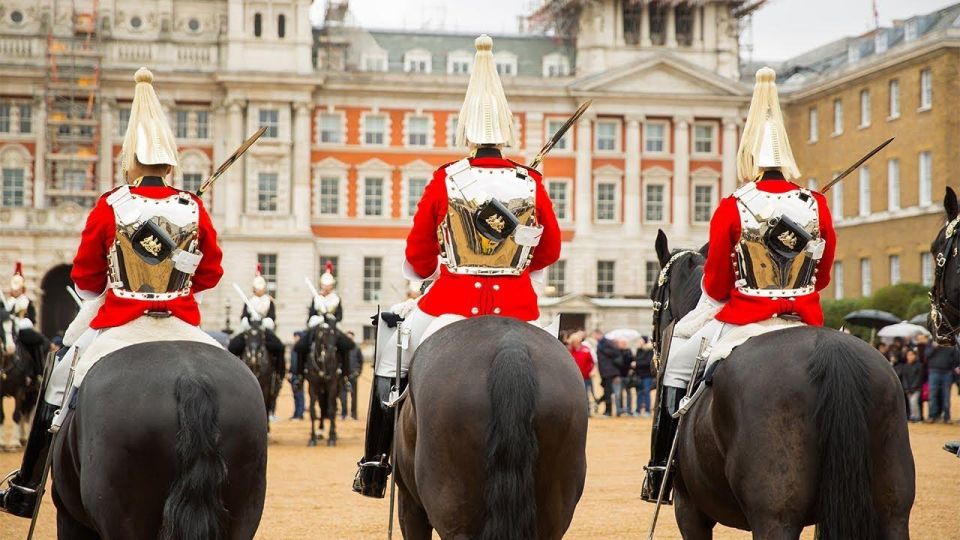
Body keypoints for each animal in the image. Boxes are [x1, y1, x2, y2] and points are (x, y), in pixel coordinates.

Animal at [306, 312, 344, 448]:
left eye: (337, 334)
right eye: (324, 333)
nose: (331, 354)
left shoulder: (332, 385)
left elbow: (331, 410)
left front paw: (332, 437)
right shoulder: (312, 386)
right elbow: (313, 411)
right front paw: (312, 438)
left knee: (331, 406)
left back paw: (333, 433)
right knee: (322, 406)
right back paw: (320, 431)